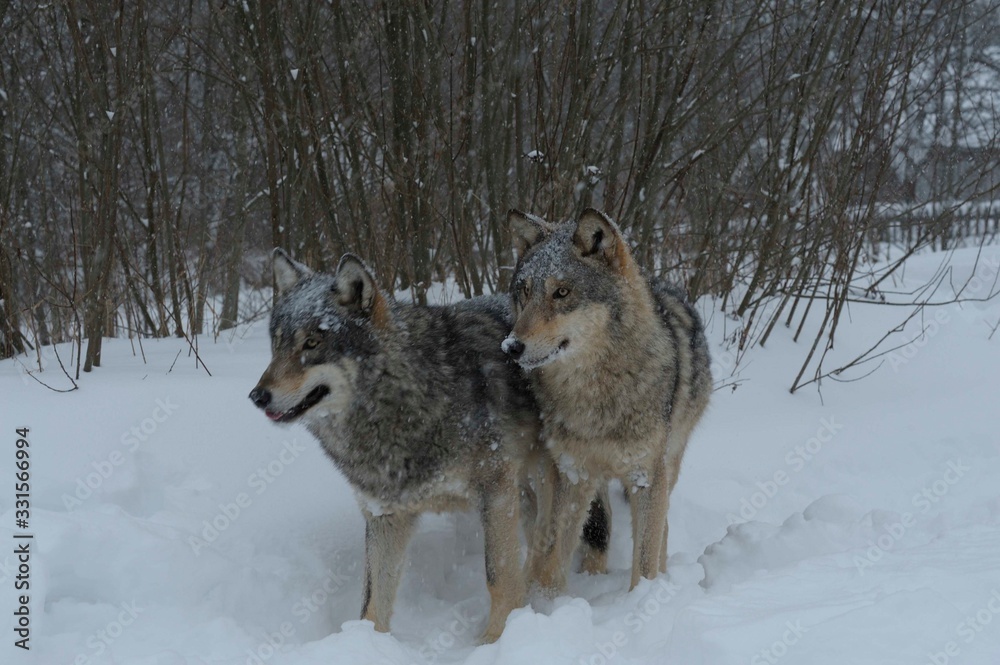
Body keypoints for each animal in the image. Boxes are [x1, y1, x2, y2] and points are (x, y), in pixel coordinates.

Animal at [249, 249, 539, 643]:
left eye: (312, 343)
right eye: (277, 344)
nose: (257, 396)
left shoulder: (496, 491)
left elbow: (499, 576)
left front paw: (495, 640)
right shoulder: (385, 516)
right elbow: (372, 603)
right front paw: (362, 646)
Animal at [502, 208, 711, 593]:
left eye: (562, 292)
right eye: (524, 291)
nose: (511, 347)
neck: (595, 394)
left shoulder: (647, 476)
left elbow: (644, 560)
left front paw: (643, 599)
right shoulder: (572, 473)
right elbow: (554, 554)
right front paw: (548, 600)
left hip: (669, 462)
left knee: (662, 527)